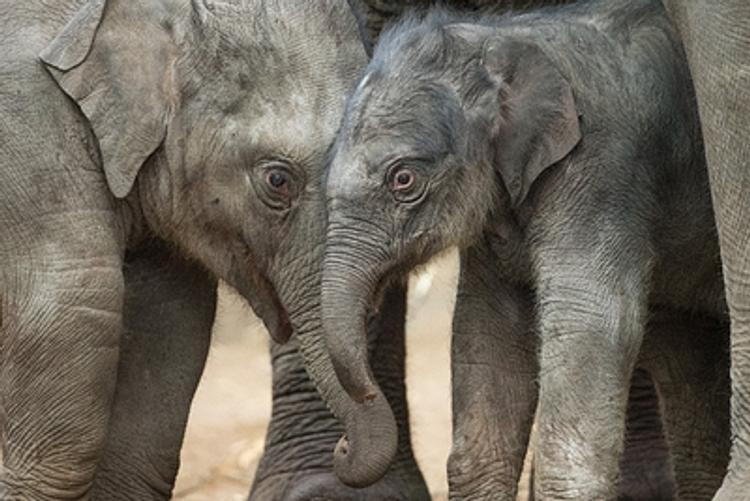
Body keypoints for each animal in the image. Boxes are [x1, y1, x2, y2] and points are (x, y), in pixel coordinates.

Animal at [318, 0, 736, 494]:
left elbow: (591, 319)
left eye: (403, 179)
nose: (342, 447)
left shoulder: (602, 172)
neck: (507, 43)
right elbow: (485, 329)